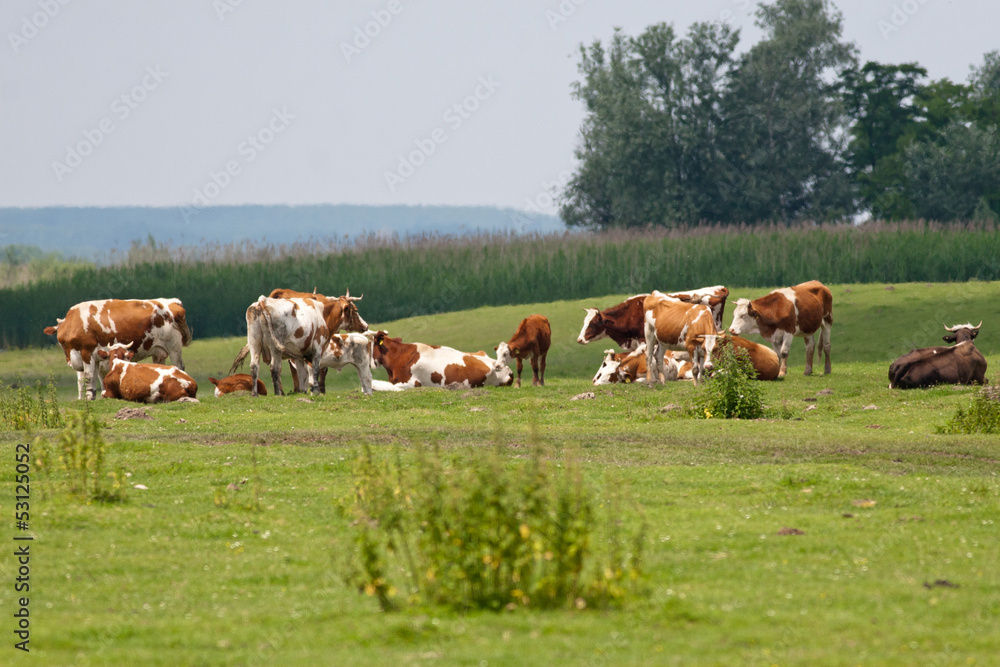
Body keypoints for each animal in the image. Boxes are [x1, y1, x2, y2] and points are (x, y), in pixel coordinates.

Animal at [43, 298, 192, 402]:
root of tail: (172, 302)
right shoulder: (95, 358)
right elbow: (90, 379)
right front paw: (92, 397)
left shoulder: (87, 352)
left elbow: (89, 376)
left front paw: (88, 398)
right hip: (159, 352)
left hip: (174, 348)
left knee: (179, 366)